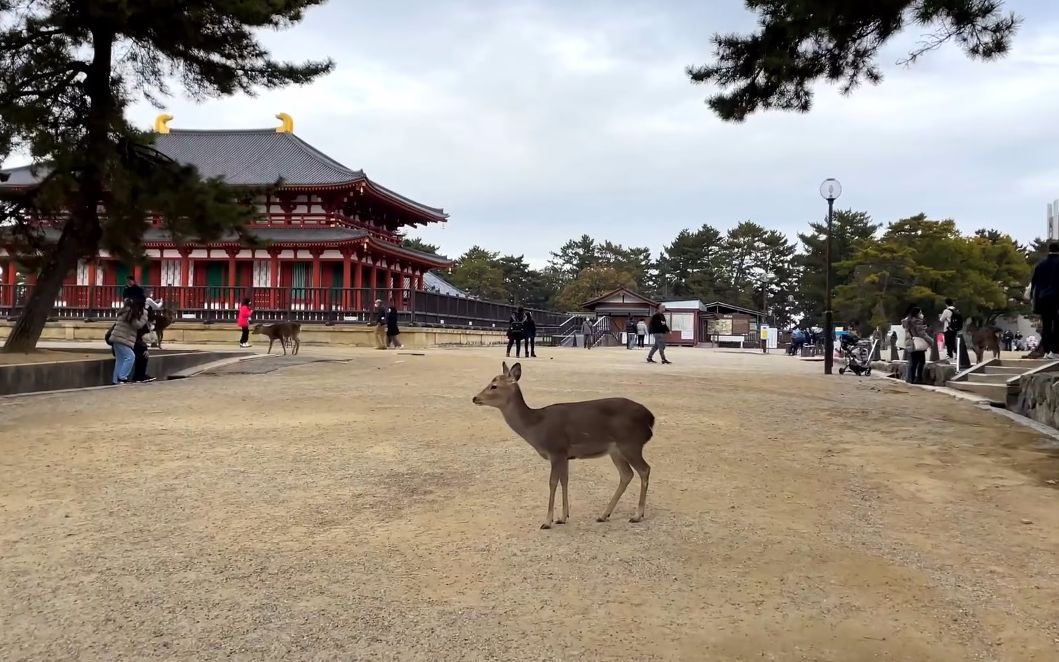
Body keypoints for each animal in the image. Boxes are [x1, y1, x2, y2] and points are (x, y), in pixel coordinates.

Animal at [472, 358, 652, 529]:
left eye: (494, 386)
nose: (475, 398)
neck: (537, 427)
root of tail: (650, 418)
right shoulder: (565, 454)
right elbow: (565, 480)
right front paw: (563, 517)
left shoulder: (556, 449)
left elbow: (552, 483)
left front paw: (547, 521)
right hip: (616, 451)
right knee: (626, 474)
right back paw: (603, 515)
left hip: (631, 444)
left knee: (644, 469)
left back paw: (637, 515)